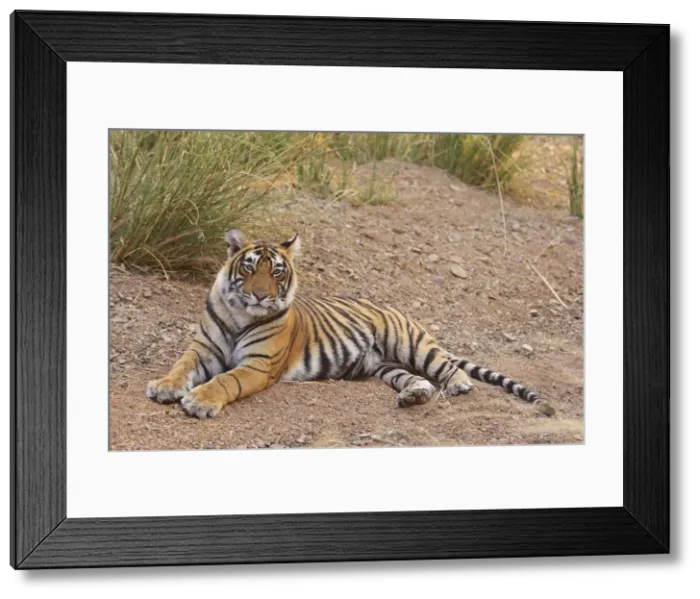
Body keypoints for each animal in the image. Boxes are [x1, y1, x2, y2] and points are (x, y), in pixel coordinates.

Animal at [146, 228, 555, 420]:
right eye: (248, 268)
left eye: (276, 272)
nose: (260, 296)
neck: (240, 313)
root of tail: (388, 304)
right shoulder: (203, 349)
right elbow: (180, 366)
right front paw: (164, 387)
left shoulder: (257, 366)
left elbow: (225, 381)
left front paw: (199, 401)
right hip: (387, 367)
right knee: (417, 380)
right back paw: (413, 396)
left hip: (412, 344)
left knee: (447, 366)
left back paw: (457, 385)